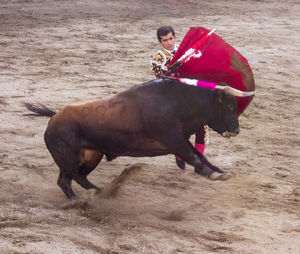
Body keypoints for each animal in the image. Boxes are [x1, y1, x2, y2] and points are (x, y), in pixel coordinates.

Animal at [24, 78, 253, 199]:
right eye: (229, 106)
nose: (236, 130)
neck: (179, 102)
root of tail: (54, 117)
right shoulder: (173, 140)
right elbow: (193, 156)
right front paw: (211, 174)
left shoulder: (180, 139)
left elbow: (199, 155)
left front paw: (220, 172)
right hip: (68, 158)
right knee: (65, 181)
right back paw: (78, 201)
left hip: (91, 155)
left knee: (79, 177)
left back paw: (100, 192)